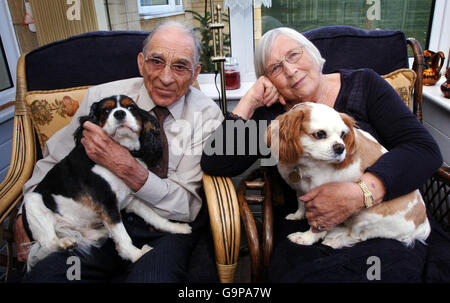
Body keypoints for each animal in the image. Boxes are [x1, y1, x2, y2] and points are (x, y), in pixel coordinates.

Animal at [23, 95, 191, 270]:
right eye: (106, 110)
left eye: (131, 108)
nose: (119, 113)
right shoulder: (107, 203)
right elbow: (123, 237)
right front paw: (137, 254)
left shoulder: (131, 199)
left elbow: (154, 216)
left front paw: (177, 227)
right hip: (32, 201)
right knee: (47, 242)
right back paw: (65, 243)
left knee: (88, 235)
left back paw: (102, 233)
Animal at [266, 102, 430, 249]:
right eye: (320, 134)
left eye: (342, 135)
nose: (340, 147)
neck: (304, 163)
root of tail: (421, 224)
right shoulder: (301, 188)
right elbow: (301, 202)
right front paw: (298, 215)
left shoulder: (323, 203)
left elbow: (318, 225)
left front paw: (307, 238)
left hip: (364, 216)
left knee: (359, 236)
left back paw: (335, 239)